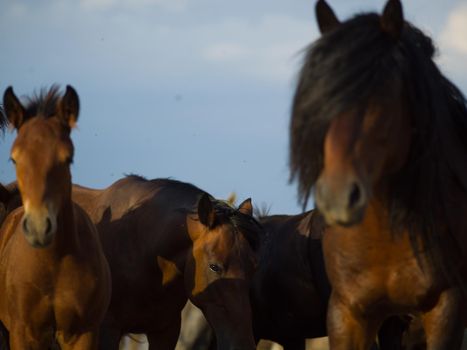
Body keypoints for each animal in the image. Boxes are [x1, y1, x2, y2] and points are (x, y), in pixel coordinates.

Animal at [0, 86, 111, 348]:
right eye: (14, 158)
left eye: (68, 158)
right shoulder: (23, 333)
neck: (53, 265)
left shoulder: (82, 334)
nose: (39, 227)